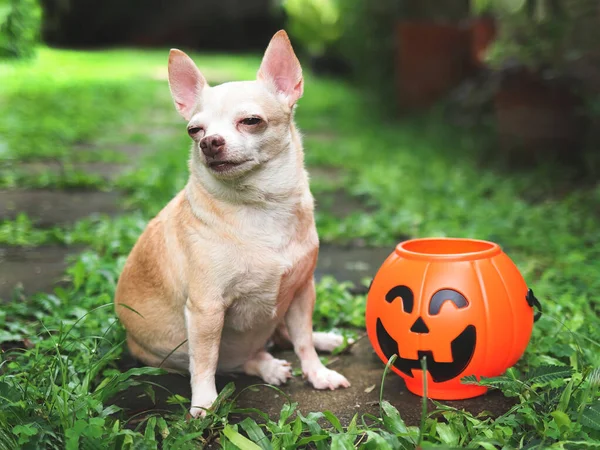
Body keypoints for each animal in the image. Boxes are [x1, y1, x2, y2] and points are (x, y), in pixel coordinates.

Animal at [113, 30, 352, 418]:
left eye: (251, 121)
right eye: (194, 131)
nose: (209, 142)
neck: (260, 206)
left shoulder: (303, 291)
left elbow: (302, 338)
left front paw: (317, 373)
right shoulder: (207, 310)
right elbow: (205, 361)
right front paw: (204, 404)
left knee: (285, 336)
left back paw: (325, 339)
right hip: (169, 353)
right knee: (237, 360)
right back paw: (267, 366)